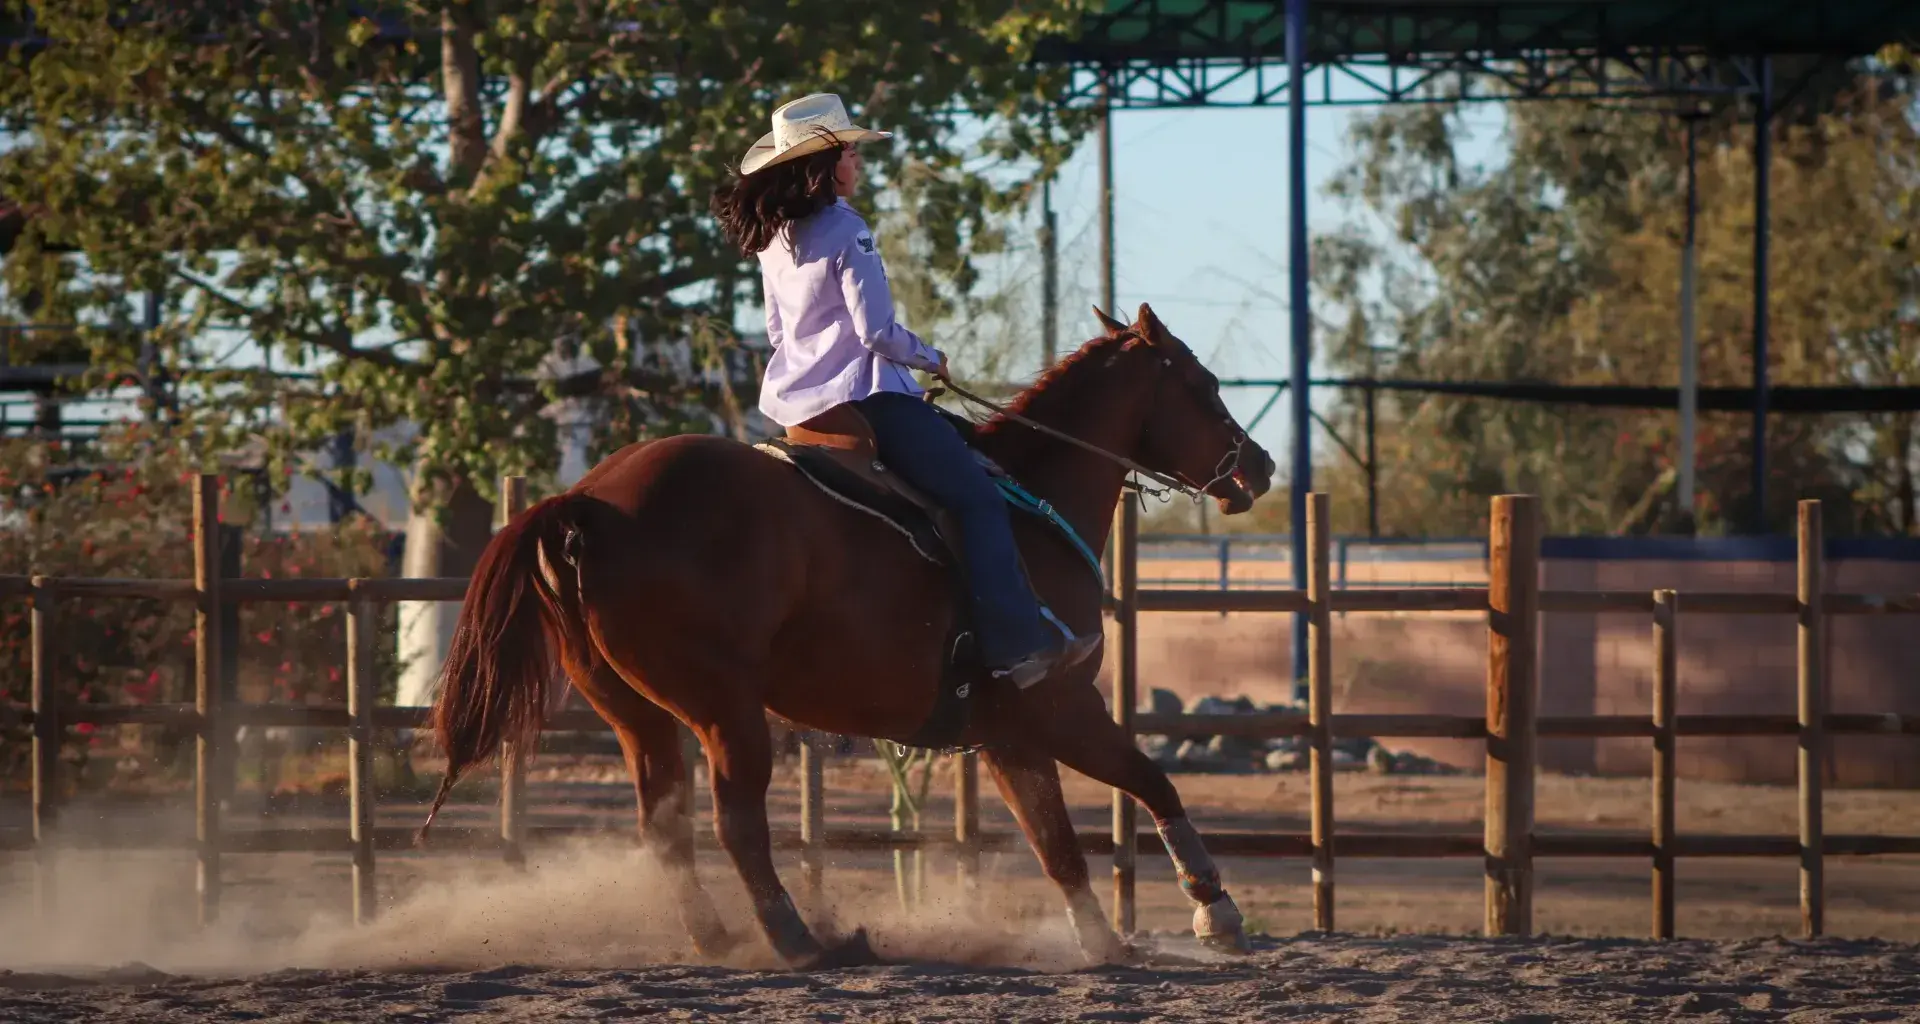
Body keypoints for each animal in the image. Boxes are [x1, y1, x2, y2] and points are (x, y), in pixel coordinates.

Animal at [418, 302, 1277, 967]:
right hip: (724, 710)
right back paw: (802, 941)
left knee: (663, 822)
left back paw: (720, 939)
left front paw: (1134, 934)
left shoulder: (1011, 733)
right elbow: (1118, 801)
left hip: (637, 711)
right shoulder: (1053, 707)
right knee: (737, 823)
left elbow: (1084, 823)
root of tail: (587, 500)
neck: (1032, 499)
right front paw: (1199, 918)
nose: (1262, 468)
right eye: (1204, 384)